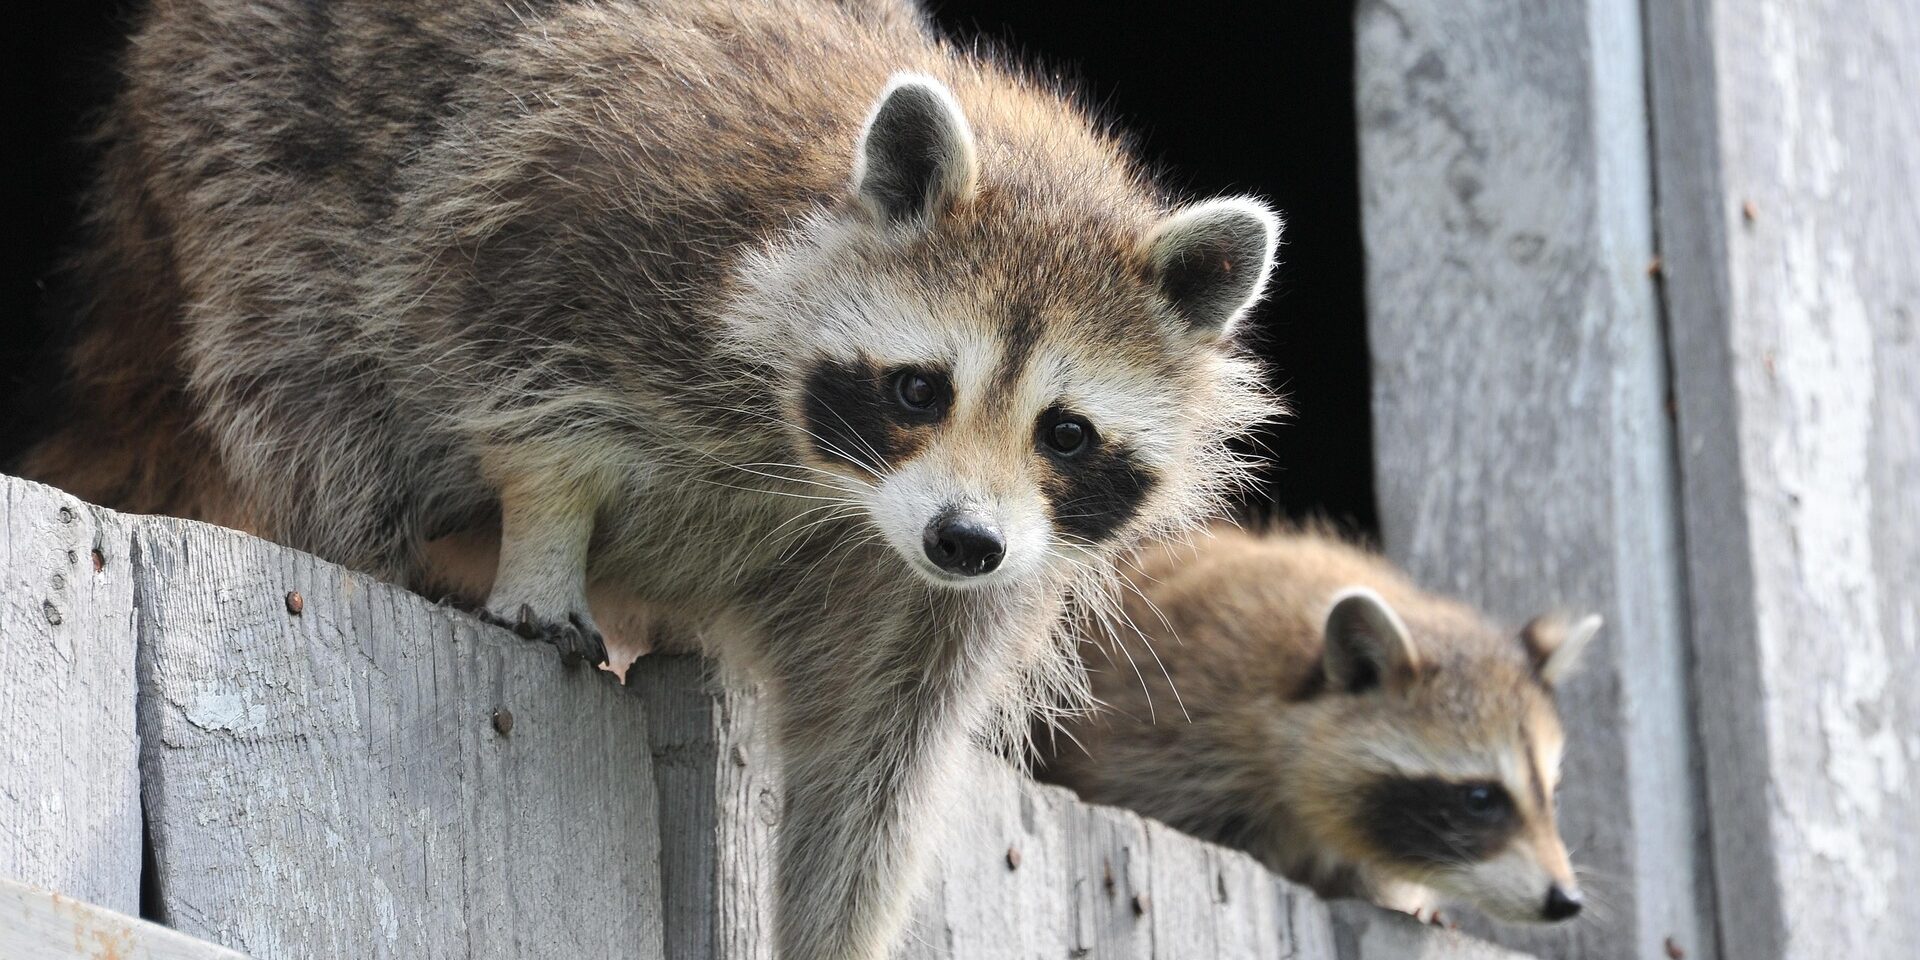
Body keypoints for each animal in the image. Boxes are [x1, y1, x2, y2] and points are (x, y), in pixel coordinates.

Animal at [22, 2, 1281, 957]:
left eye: (1064, 433)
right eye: (921, 389)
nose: (964, 540)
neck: (826, 479)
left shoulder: (942, 585)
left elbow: (875, 764)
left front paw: (833, 925)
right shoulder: (599, 222)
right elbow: (519, 379)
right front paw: (544, 534)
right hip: (242, 142)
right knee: (305, 368)